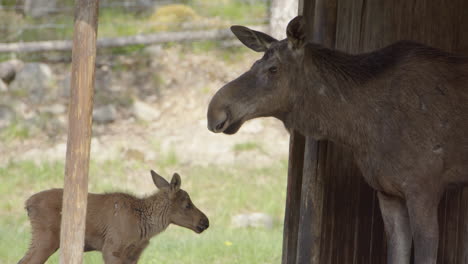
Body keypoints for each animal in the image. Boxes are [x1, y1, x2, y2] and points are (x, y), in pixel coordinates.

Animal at [18, 170, 208, 264]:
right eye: (187, 204)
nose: (205, 221)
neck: (145, 226)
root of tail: (28, 204)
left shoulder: (134, 255)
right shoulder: (112, 248)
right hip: (46, 239)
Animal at [207, 16, 468, 264]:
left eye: (273, 69)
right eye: (255, 63)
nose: (214, 111)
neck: (360, 130)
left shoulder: (424, 188)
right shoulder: (388, 192)